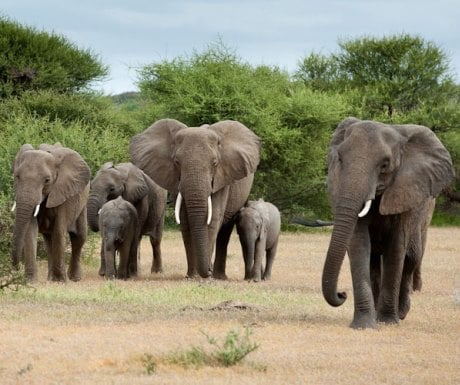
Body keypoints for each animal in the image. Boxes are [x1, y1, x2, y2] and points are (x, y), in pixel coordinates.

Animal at [11, 142, 90, 280]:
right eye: (17, 176)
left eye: (47, 180)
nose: (16, 268)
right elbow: (30, 230)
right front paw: (30, 281)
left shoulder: (64, 191)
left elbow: (59, 230)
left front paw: (60, 281)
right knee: (49, 241)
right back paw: (50, 278)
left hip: (83, 201)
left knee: (79, 237)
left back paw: (74, 279)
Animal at [127, 118, 260, 278]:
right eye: (177, 162)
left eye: (215, 163)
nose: (208, 270)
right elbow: (185, 221)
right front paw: (192, 276)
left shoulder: (222, 178)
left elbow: (212, 219)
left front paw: (204, 277)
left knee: (225, 231)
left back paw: (219, 277)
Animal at [322, 116, 454, 328]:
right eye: (340, 159)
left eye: (384, 165)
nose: (342, 294)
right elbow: (359, 244)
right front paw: (365, 325)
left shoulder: (405, 191)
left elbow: (396, 247)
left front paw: (388, 322)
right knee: (374, 261)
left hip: (424, 211)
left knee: (411, 257)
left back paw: (401, 313)